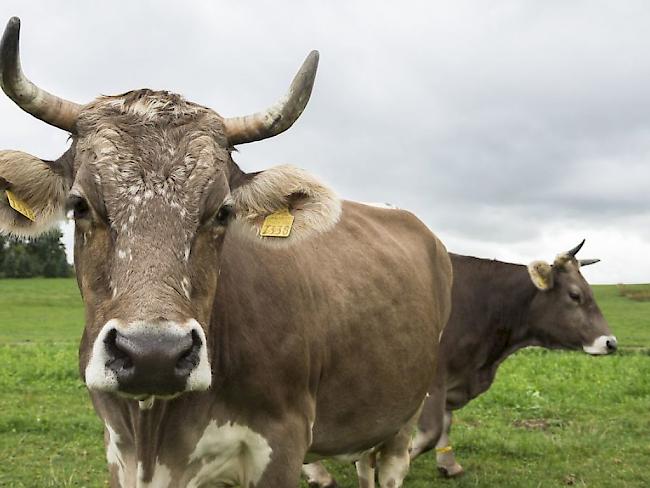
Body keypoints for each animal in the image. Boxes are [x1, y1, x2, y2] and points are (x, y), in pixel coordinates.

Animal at [0, 17, 450, 486]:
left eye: (222, 211)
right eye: (81, 205)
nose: (153, 355)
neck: (154, 434)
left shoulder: (281, 447)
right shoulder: (118, 453)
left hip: (404, 417)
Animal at [302, 238, 612, 486]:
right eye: (575, 295)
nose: (611, 342)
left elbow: (446, 424)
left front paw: (448, 464)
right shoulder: (432, 382)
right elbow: (430, 432)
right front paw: (384, 460)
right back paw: (321, 474)